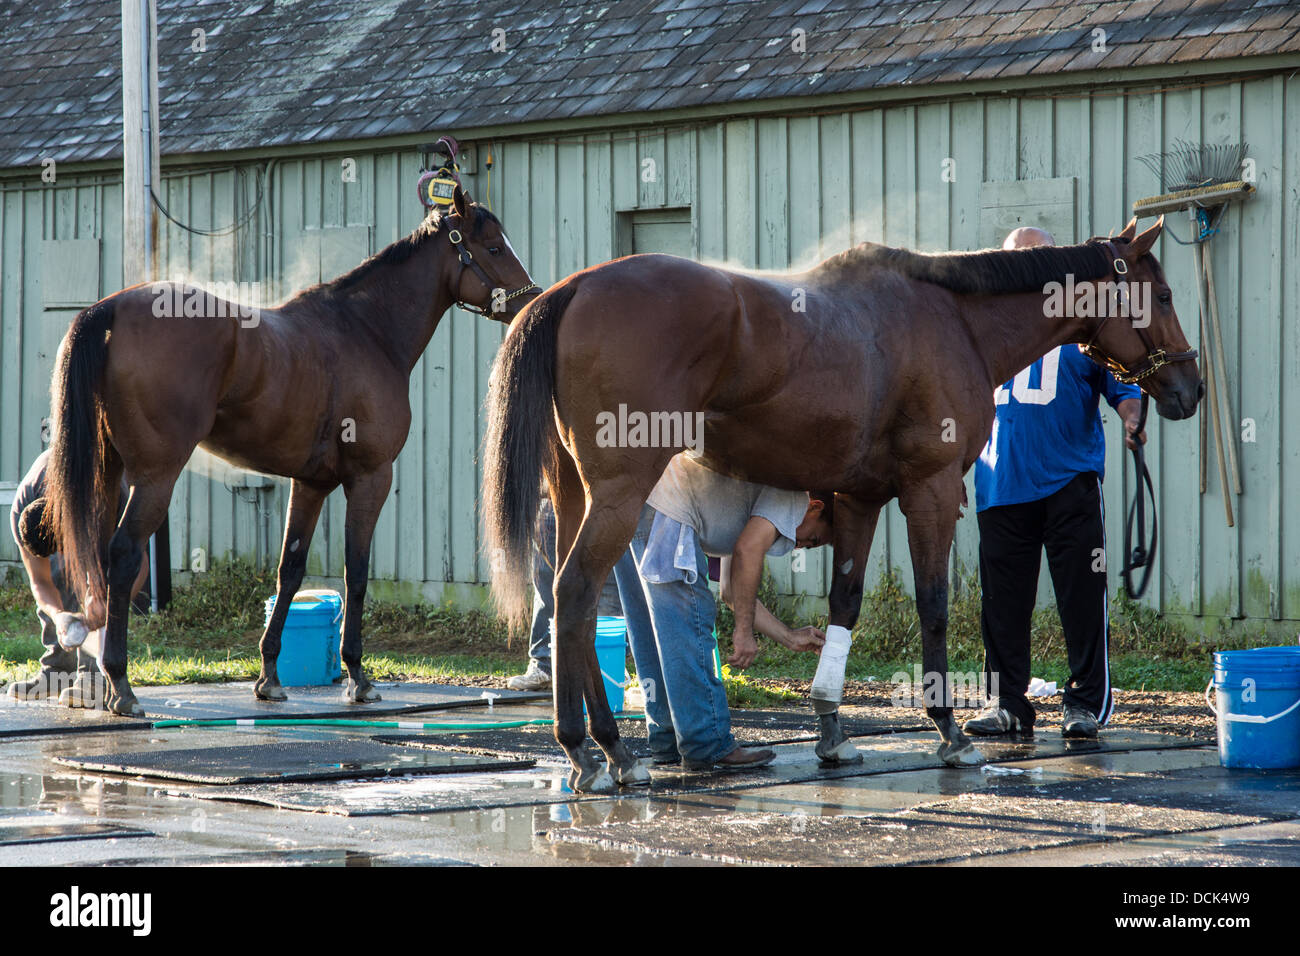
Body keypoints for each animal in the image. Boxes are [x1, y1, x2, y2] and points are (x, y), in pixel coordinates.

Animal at [43, 187, 535, 712]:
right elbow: (356, 572)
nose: (532, 299)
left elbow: (290, 571)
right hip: (155, 475)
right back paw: (121, 684)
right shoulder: (371, 477)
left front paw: (269, 677)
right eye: (494, 248)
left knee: (94, 556)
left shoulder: (311, 483)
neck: (367, 331)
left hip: (110, 472)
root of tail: (110, 309)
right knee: (123, 554)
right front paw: (358, 676)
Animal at [483, 217, 1201, 790]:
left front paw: (831, 729)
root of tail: (572, 289)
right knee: (575, 593)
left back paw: (605, 748)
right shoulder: (930, 492)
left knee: (573, 602)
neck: (954, 320)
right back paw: (593, 750)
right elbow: (934, 606)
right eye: (1163, 294)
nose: (1190, 387)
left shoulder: (860, 499)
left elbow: (844, 606)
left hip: (574, 495)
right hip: (618, 497)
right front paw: (949, 731)